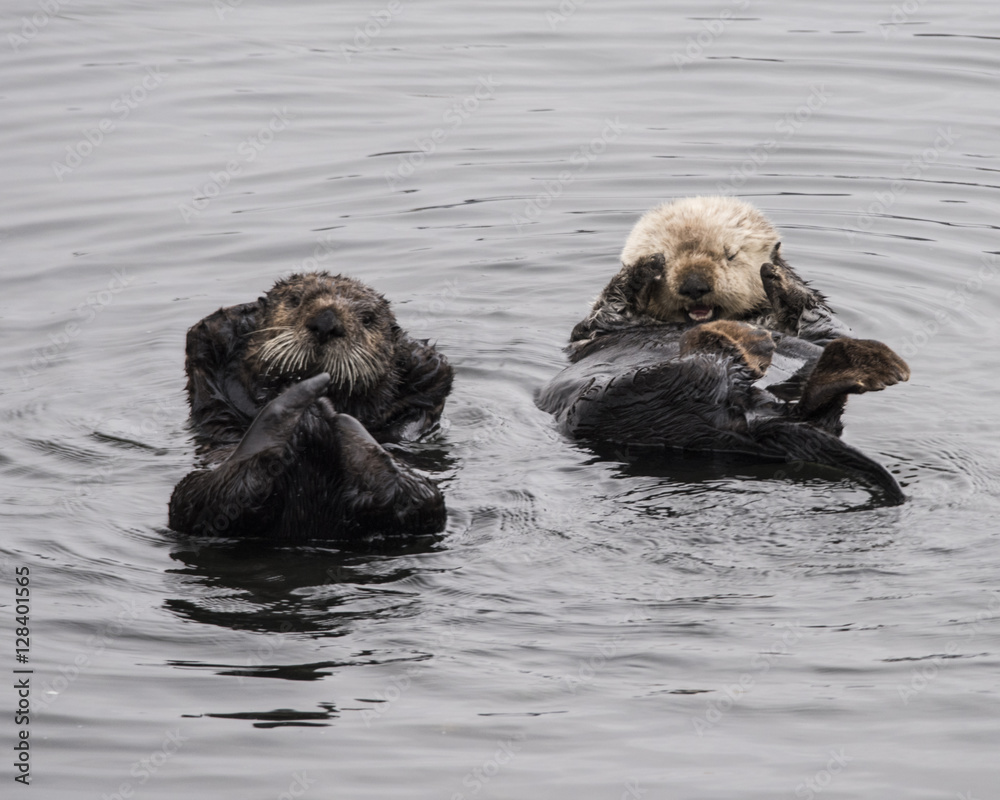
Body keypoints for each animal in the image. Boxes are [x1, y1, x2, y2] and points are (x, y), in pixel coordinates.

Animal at [168, 272, 453, 540]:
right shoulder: (210, 347)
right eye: (294, 300)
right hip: (193, 494)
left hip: (422, 496)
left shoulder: (428, 379)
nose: (326, 323)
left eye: (368, 319)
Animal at [539, 197, 910, 502]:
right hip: (613, 401)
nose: (694, 285)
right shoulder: (598, 328)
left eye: (730, 255)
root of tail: (749, 423)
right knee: (706, 367)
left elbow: (820, 325)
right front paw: (646, 265)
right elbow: (609, 306)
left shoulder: (812, 328)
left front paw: (777, 274)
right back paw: (747, 343)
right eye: (671, 258)